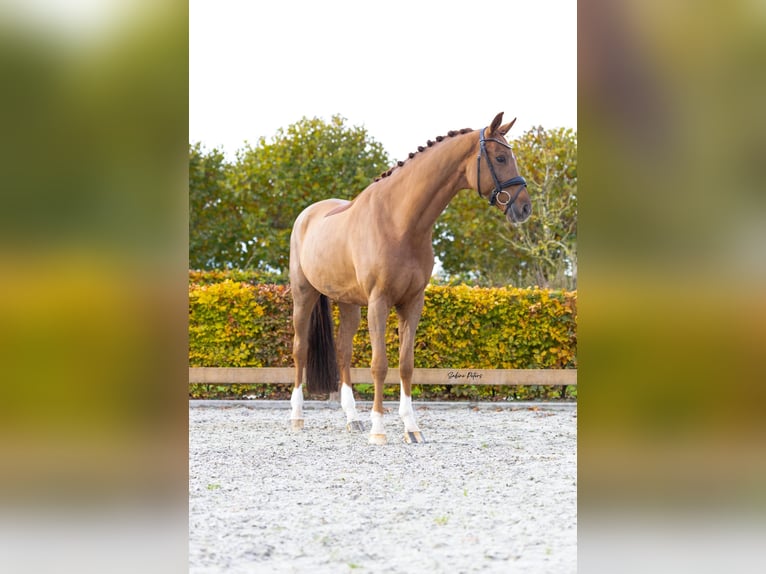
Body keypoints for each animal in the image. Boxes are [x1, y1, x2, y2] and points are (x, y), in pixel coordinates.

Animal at [288, 112, 531, 445]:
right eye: (500, 157)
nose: (524, 208)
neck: (400, 222)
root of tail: (307, 215)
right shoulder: (379, 302)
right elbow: (379, 365)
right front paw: (379, 430)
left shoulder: (413, 302)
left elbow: (406, 365)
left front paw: (411, 428)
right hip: (304, 295)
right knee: (299, 350)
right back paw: (297, 417)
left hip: (349, 304)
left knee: (343, 352)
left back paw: (353, 419)